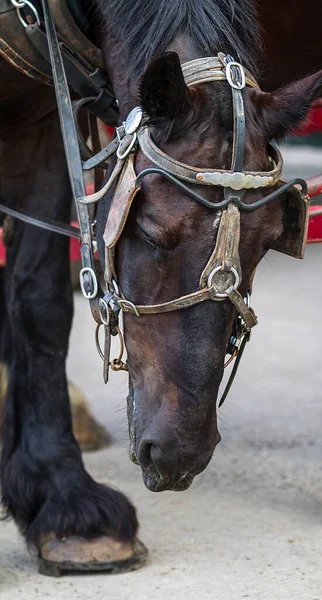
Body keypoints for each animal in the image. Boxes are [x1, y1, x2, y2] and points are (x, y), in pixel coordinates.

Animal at [0, 0, 320, 576]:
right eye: (150, 230)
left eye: (268, 242)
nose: (179, 454)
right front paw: (63, 493)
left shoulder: (42, 118)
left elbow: (38, 298)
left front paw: (55, 491)